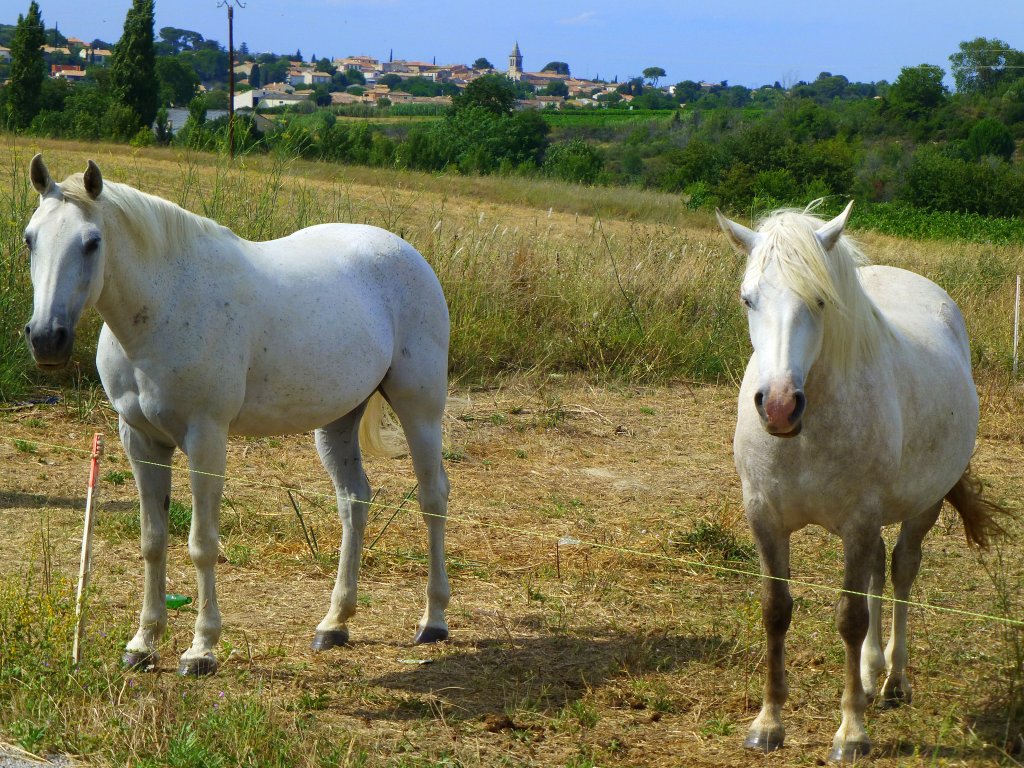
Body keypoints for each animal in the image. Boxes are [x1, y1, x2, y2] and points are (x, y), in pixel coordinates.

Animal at [19, 154, 450, 671]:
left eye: (92, 242)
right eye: (30, 238)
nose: (47, 338)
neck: (166, 304)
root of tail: (406, 252)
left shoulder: (206, 438)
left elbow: (202, 545)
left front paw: (201, 649)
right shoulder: (139, 439)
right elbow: (153, 541)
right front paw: (143, 643)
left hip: (419, 409)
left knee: (432, 498)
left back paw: (433, 621)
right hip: (337, 421)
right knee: (354, 501)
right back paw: (334, 624)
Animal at [716, 202, 1003, 765]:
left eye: (820, 300)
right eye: (747, 298)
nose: (778, 406)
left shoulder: (858, 519)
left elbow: (850, 617)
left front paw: (851, 733)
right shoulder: (764, 517)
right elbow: (775, 610)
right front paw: (768, 724)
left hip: (921, 507)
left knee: (901, 572)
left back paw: (893, 681)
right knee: (876, 572)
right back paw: (871, 676)